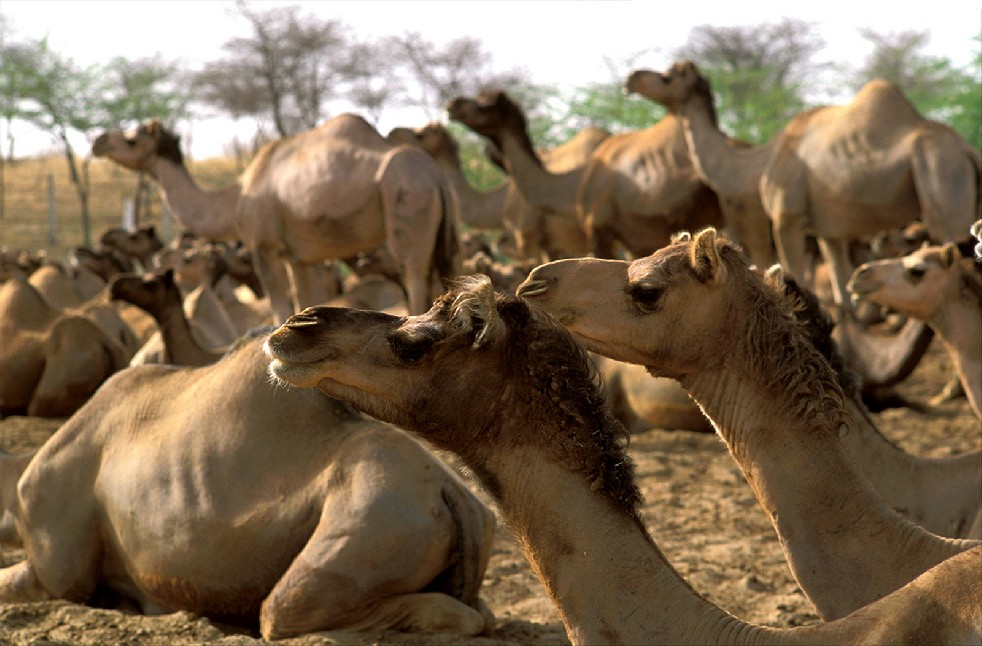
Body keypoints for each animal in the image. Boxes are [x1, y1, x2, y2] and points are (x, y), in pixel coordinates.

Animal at [92, 117, 462, 324]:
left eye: (133, 139)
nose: (98, 140)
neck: (234, 199)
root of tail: (434, 176)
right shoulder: (300, 256)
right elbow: (305, 298)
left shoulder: (263, 246)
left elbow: (278, 304)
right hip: (443, 230)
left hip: (407, 204)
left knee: (413, 274)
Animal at [628, 60, 980, 312]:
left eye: (668, 76)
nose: (631, 78)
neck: (758, 164)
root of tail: (967, 151)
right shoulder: (829, 232)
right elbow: (842, 294)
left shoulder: (788, 219)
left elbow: (794, 275)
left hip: (941, 177)